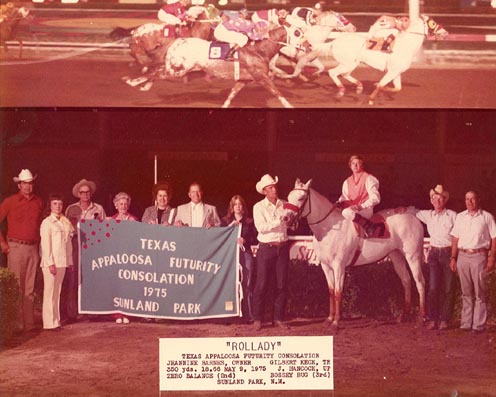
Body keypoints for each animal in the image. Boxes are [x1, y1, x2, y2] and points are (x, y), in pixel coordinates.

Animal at [163, 26, 294, 107]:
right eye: (298, 33)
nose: (297, 52)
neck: (259, 50)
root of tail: (178, 41)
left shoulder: (243, 80)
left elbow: (231, 95)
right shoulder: (261, 77)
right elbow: (277, 92)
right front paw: (289, 105)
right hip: (182, 66)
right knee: (166, 71)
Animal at [284, 179, 424, 332]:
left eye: (301, 198)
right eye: (289, 197)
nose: (285, 218)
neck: (329, 229)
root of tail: (412, 216)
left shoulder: (339, 266)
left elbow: (338, 292)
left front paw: (336, 322)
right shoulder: (325, 266)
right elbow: (331, 292)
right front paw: (329, 319)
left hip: (413, 256)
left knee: (420, 282)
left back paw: (421, 319)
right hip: (397, 256)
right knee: (406, 280)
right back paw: (404, 316)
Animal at [286, 14, 446, 103]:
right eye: (433, 23)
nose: (445, 33)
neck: (406, 46)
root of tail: (334, 42)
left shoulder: (397, 72)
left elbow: (397, 88)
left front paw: (375, 87)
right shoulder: (392, 71)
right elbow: (382, 85)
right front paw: (371, 98)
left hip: (353, 63)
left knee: (345, 75)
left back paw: (358, 87)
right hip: (348, 63)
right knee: (334, 73)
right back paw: (341, 91)